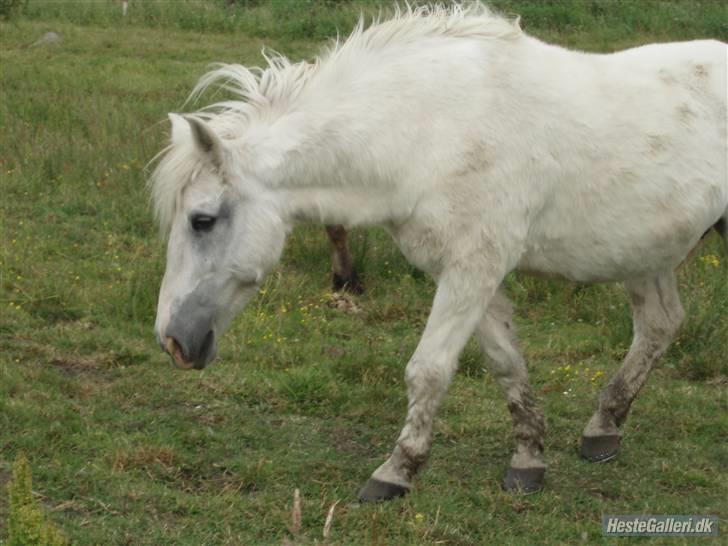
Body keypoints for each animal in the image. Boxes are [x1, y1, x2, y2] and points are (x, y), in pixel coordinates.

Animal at [151, 3, 724, 498]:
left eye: (203, 221)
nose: (173, 342)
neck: (428, 130)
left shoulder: (473, 269)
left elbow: (427, 370)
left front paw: (396, 470)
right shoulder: (468, 274)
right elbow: (505, 364)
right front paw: (528, 460)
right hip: (645, 252)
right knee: (659, 324)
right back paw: (603, 428)